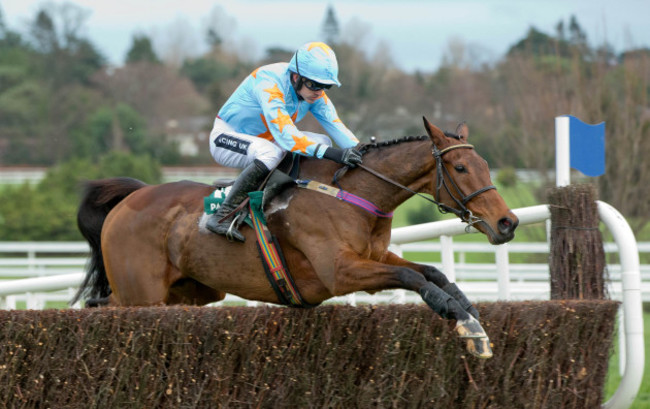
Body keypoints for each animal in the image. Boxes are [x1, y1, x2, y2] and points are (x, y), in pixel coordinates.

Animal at [72, 115, 516, 356]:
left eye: (485, 164)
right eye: (460, 168)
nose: (507, 222)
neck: (355, 194)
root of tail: (133, 196)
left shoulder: (374, 256)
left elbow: (431, 273)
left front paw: (469, 315)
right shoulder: (339, 271)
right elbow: (411, 277)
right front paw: (462, 321)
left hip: (191, 292)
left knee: (103, 303)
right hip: (142, 294)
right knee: (104, 307)